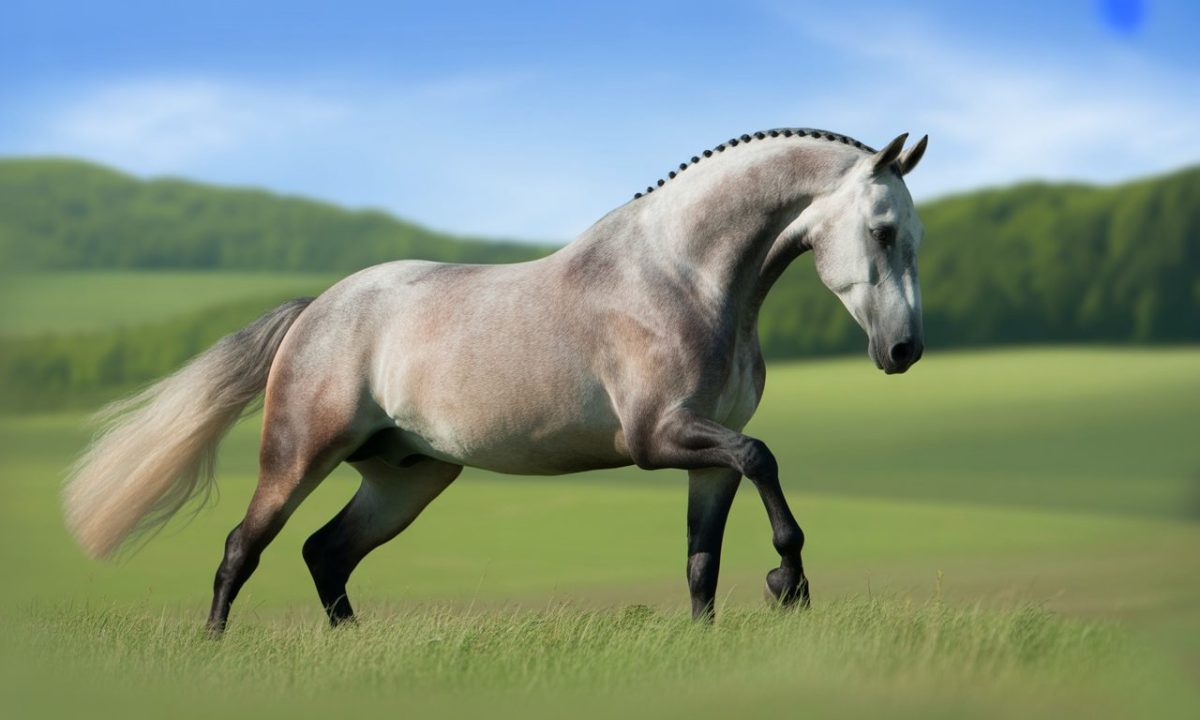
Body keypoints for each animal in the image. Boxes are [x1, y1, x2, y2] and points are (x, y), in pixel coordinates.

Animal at [64, 128, 928, 632]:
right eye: (884, 231)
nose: (905, 350)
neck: (684, 277)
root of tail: (318, 309)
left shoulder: (704, 457)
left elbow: (703, 560)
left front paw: (723, 628)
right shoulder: (660, 438)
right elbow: (764, 459)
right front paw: (790, 585)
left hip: (407, 477)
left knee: (325, 553)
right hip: (297, 456)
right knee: (243, 549)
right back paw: (216, 649)